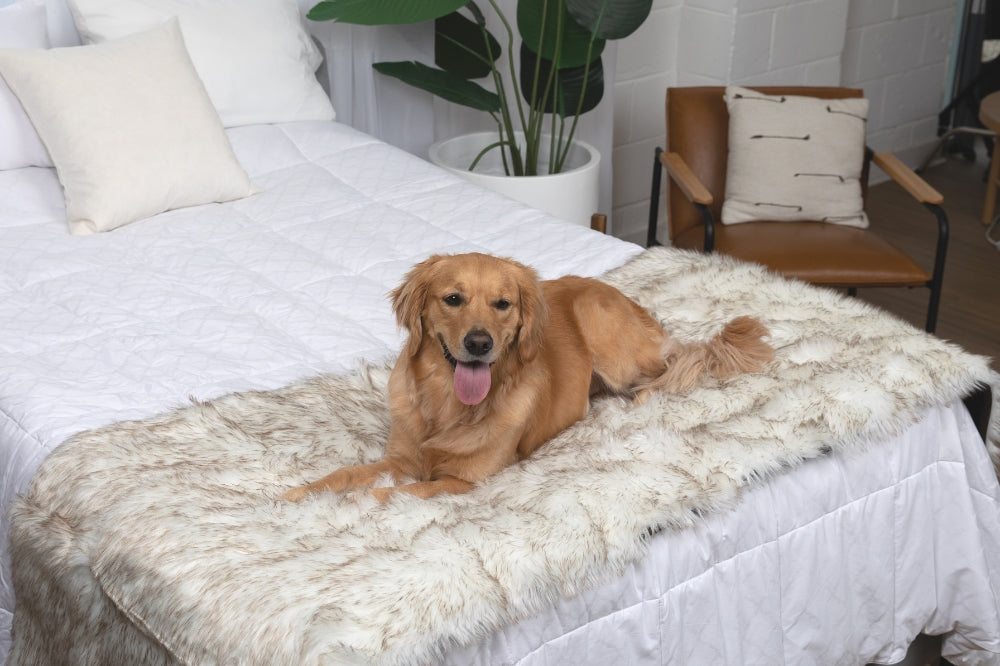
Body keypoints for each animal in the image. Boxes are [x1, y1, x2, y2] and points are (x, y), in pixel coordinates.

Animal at [284, 252, 772, 500]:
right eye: (453, 298)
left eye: (502, 304)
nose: (479, 343)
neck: (446, 405)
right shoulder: (400, 460)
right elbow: (343, 475)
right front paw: (297, 499)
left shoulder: (461, 483)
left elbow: (386, 495)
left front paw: (350, 508)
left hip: (608, 335)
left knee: (675, 366)